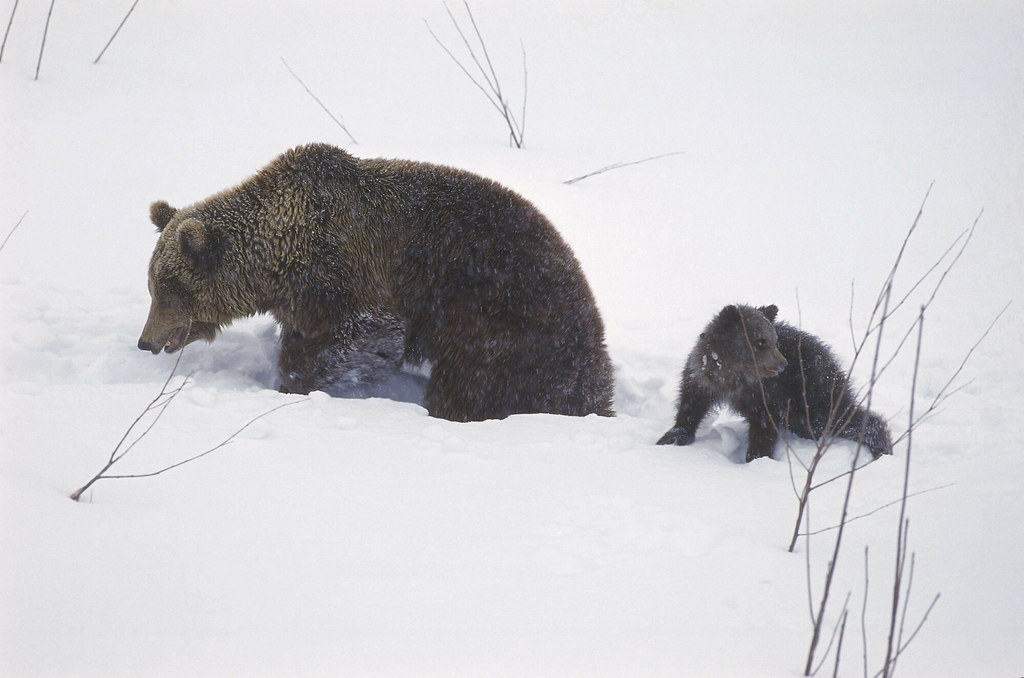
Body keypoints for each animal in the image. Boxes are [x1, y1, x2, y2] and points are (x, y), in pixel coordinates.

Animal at [138, 143, 614, 419]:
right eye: (153, 287)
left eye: (168, 292)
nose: (145, 341)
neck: (280, 260)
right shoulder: (301, 295)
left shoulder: (347, 273)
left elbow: (367, 332)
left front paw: (295, 383)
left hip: (499, 321)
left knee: (469, 384)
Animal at [659, 307, 892, 462]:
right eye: (760, 341)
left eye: (774, 340)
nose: (782, 363)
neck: (734, 377)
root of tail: (828, 354)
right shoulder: (701, 377)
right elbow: (690, 405)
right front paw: (673, 436)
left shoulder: (767, 394)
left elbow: (765, 424)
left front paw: (756, 457)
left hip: (814, 391)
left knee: (836, 417)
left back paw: (882, 447)